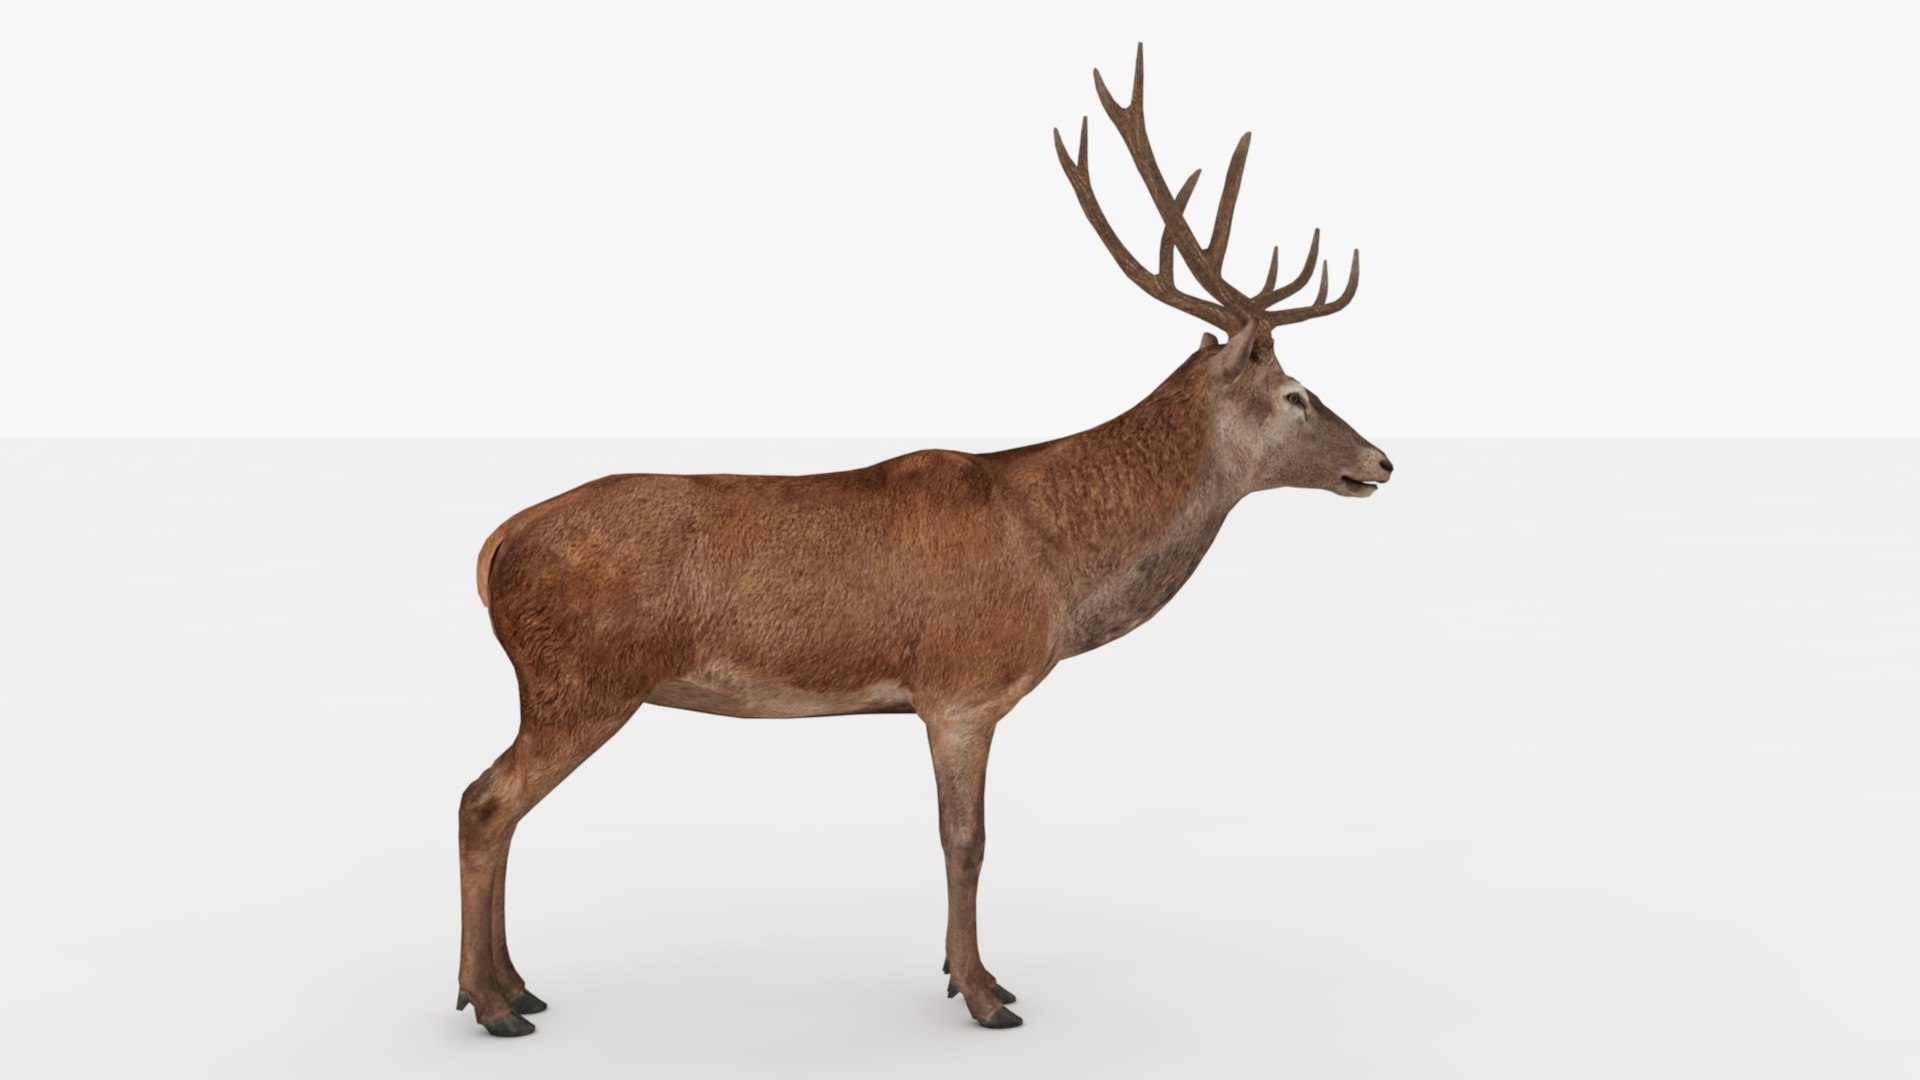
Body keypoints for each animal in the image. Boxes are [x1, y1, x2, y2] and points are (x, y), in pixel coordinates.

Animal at [456, 45, 1392, 1037]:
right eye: (1297, 395)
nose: (1380, 461)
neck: (1058, 567)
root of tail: (493, 546)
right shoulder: (963, 685)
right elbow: (966, 840)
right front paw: (984, 992)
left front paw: (970, 976)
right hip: (579, 679)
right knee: (485, 800)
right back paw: (491, 1003)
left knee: (500, 806)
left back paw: (516, 984)